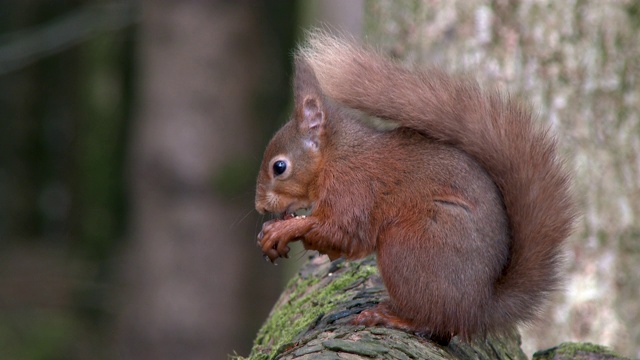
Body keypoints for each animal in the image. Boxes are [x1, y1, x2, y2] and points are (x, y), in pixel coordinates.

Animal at [255, 33, 580, 344]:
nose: (260, 207)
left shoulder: (353, 189)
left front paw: (283, 229)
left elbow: (342, 232)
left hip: (407, 247)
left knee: (437, 323)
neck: (336, 156)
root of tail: (478, 309)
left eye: (279, 167)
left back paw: (392, 318)